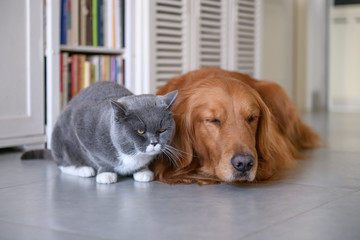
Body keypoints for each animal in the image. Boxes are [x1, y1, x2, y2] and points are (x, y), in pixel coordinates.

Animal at [21, 81, 177, 184]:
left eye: (162, 130)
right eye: (140, 131)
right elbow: (98, 159)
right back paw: (84, 170)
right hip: (59, 139)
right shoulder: (82, 126)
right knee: (62, 164)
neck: (131, 154)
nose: (154, 142)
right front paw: (106, 174)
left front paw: (143, 171)